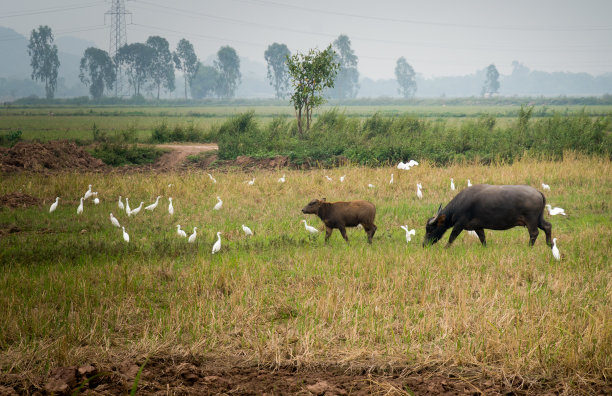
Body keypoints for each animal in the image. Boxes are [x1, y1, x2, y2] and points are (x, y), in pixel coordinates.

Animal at [424, 185, 552, 248]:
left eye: (430, 230)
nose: (424, 244)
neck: (460, 203)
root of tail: (538, 192)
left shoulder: (460, 224)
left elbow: (452, 236)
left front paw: (445, 247)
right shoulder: (477, 226)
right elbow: (482, 238)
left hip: (531, 220)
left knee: (534, 233)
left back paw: (529, 247)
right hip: (539, 219)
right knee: (547, 226)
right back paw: (549, 244)